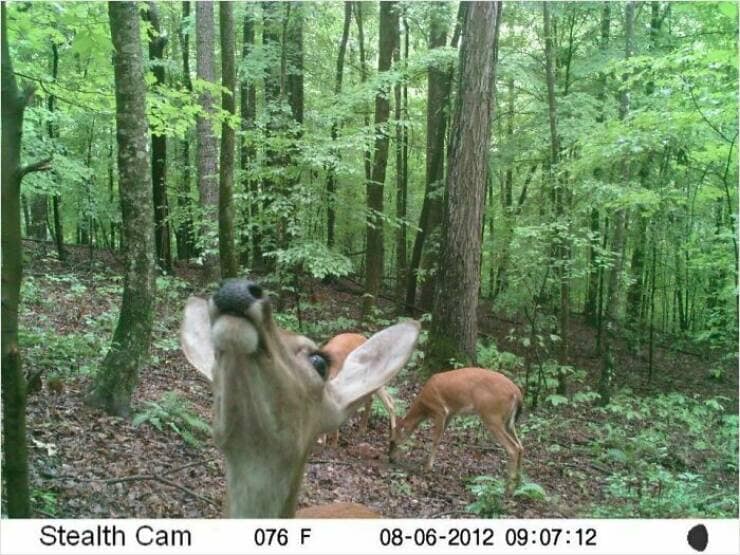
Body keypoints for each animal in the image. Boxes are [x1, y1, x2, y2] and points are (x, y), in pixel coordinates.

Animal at [388, 367, 524, 495]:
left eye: (393, 441)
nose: (390, 459)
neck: (424, 406)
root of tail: (517, 393)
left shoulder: (440, 410)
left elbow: (436, 439)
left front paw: (428, 467)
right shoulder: (451, 413)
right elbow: (441, 436)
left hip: (492, 415)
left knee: (513, 447)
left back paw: (508, 488)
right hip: (508, 421)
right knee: (521, 446)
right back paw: (518, 484)